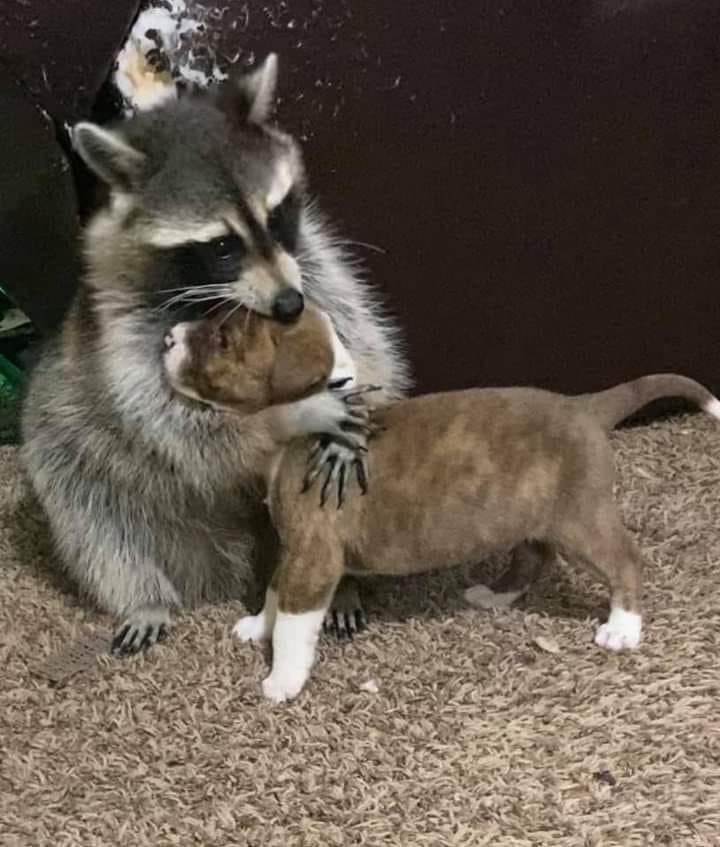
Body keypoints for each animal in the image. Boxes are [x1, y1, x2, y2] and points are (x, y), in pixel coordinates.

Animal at [21, 55, 411, 653]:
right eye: (222, 246)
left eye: (276, 216)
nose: (289, 305)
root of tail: (229, 562)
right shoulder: (121, 322)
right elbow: (175, 419)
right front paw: (289, 418)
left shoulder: (314, 264)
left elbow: (364, 334)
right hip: (71, 450)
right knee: (94, 517)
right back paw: (144, 596)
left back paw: (339, 584)